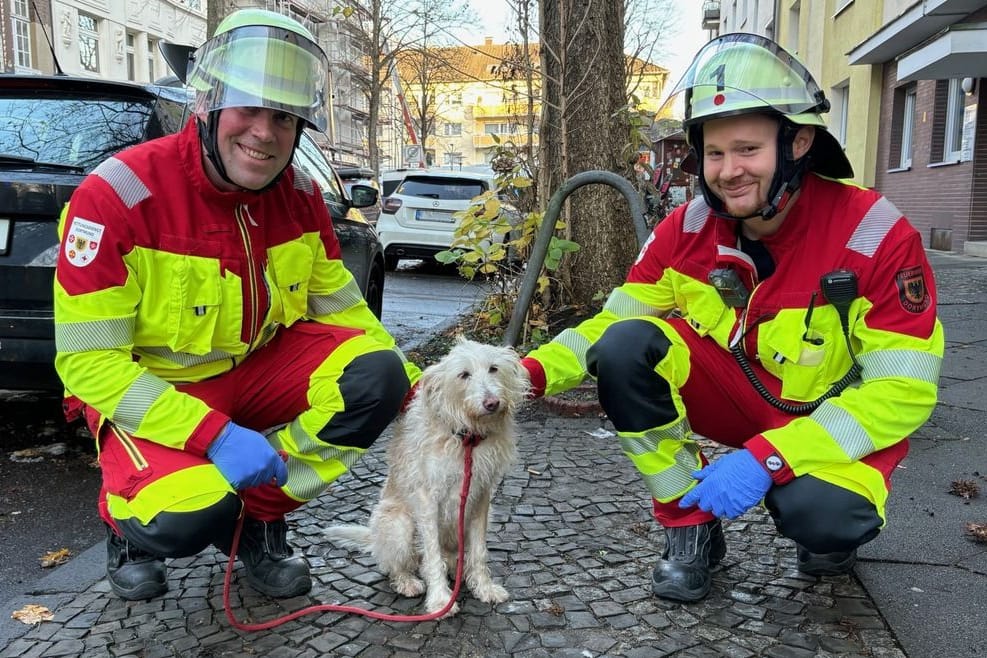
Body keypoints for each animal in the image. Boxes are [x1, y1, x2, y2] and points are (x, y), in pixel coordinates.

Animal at [324, 338, 528, 616]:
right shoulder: (427, 500)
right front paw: (441, 600)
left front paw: (484, 587)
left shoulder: (481, 498)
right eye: (464, 374)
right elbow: (432, 555)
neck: (466, 439)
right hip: (398, 525)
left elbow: (479, 551)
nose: (492, 403)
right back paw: (408, 581)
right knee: (396, 566)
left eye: (494, 369)